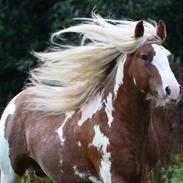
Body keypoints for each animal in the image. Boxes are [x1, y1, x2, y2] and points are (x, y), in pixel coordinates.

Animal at [0, 14, 182, 183]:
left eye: (168, 56)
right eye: (144, 56)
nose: (173, 90)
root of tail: (13, 103)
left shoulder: (142, 176)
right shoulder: (114, 176)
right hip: (9, 173)